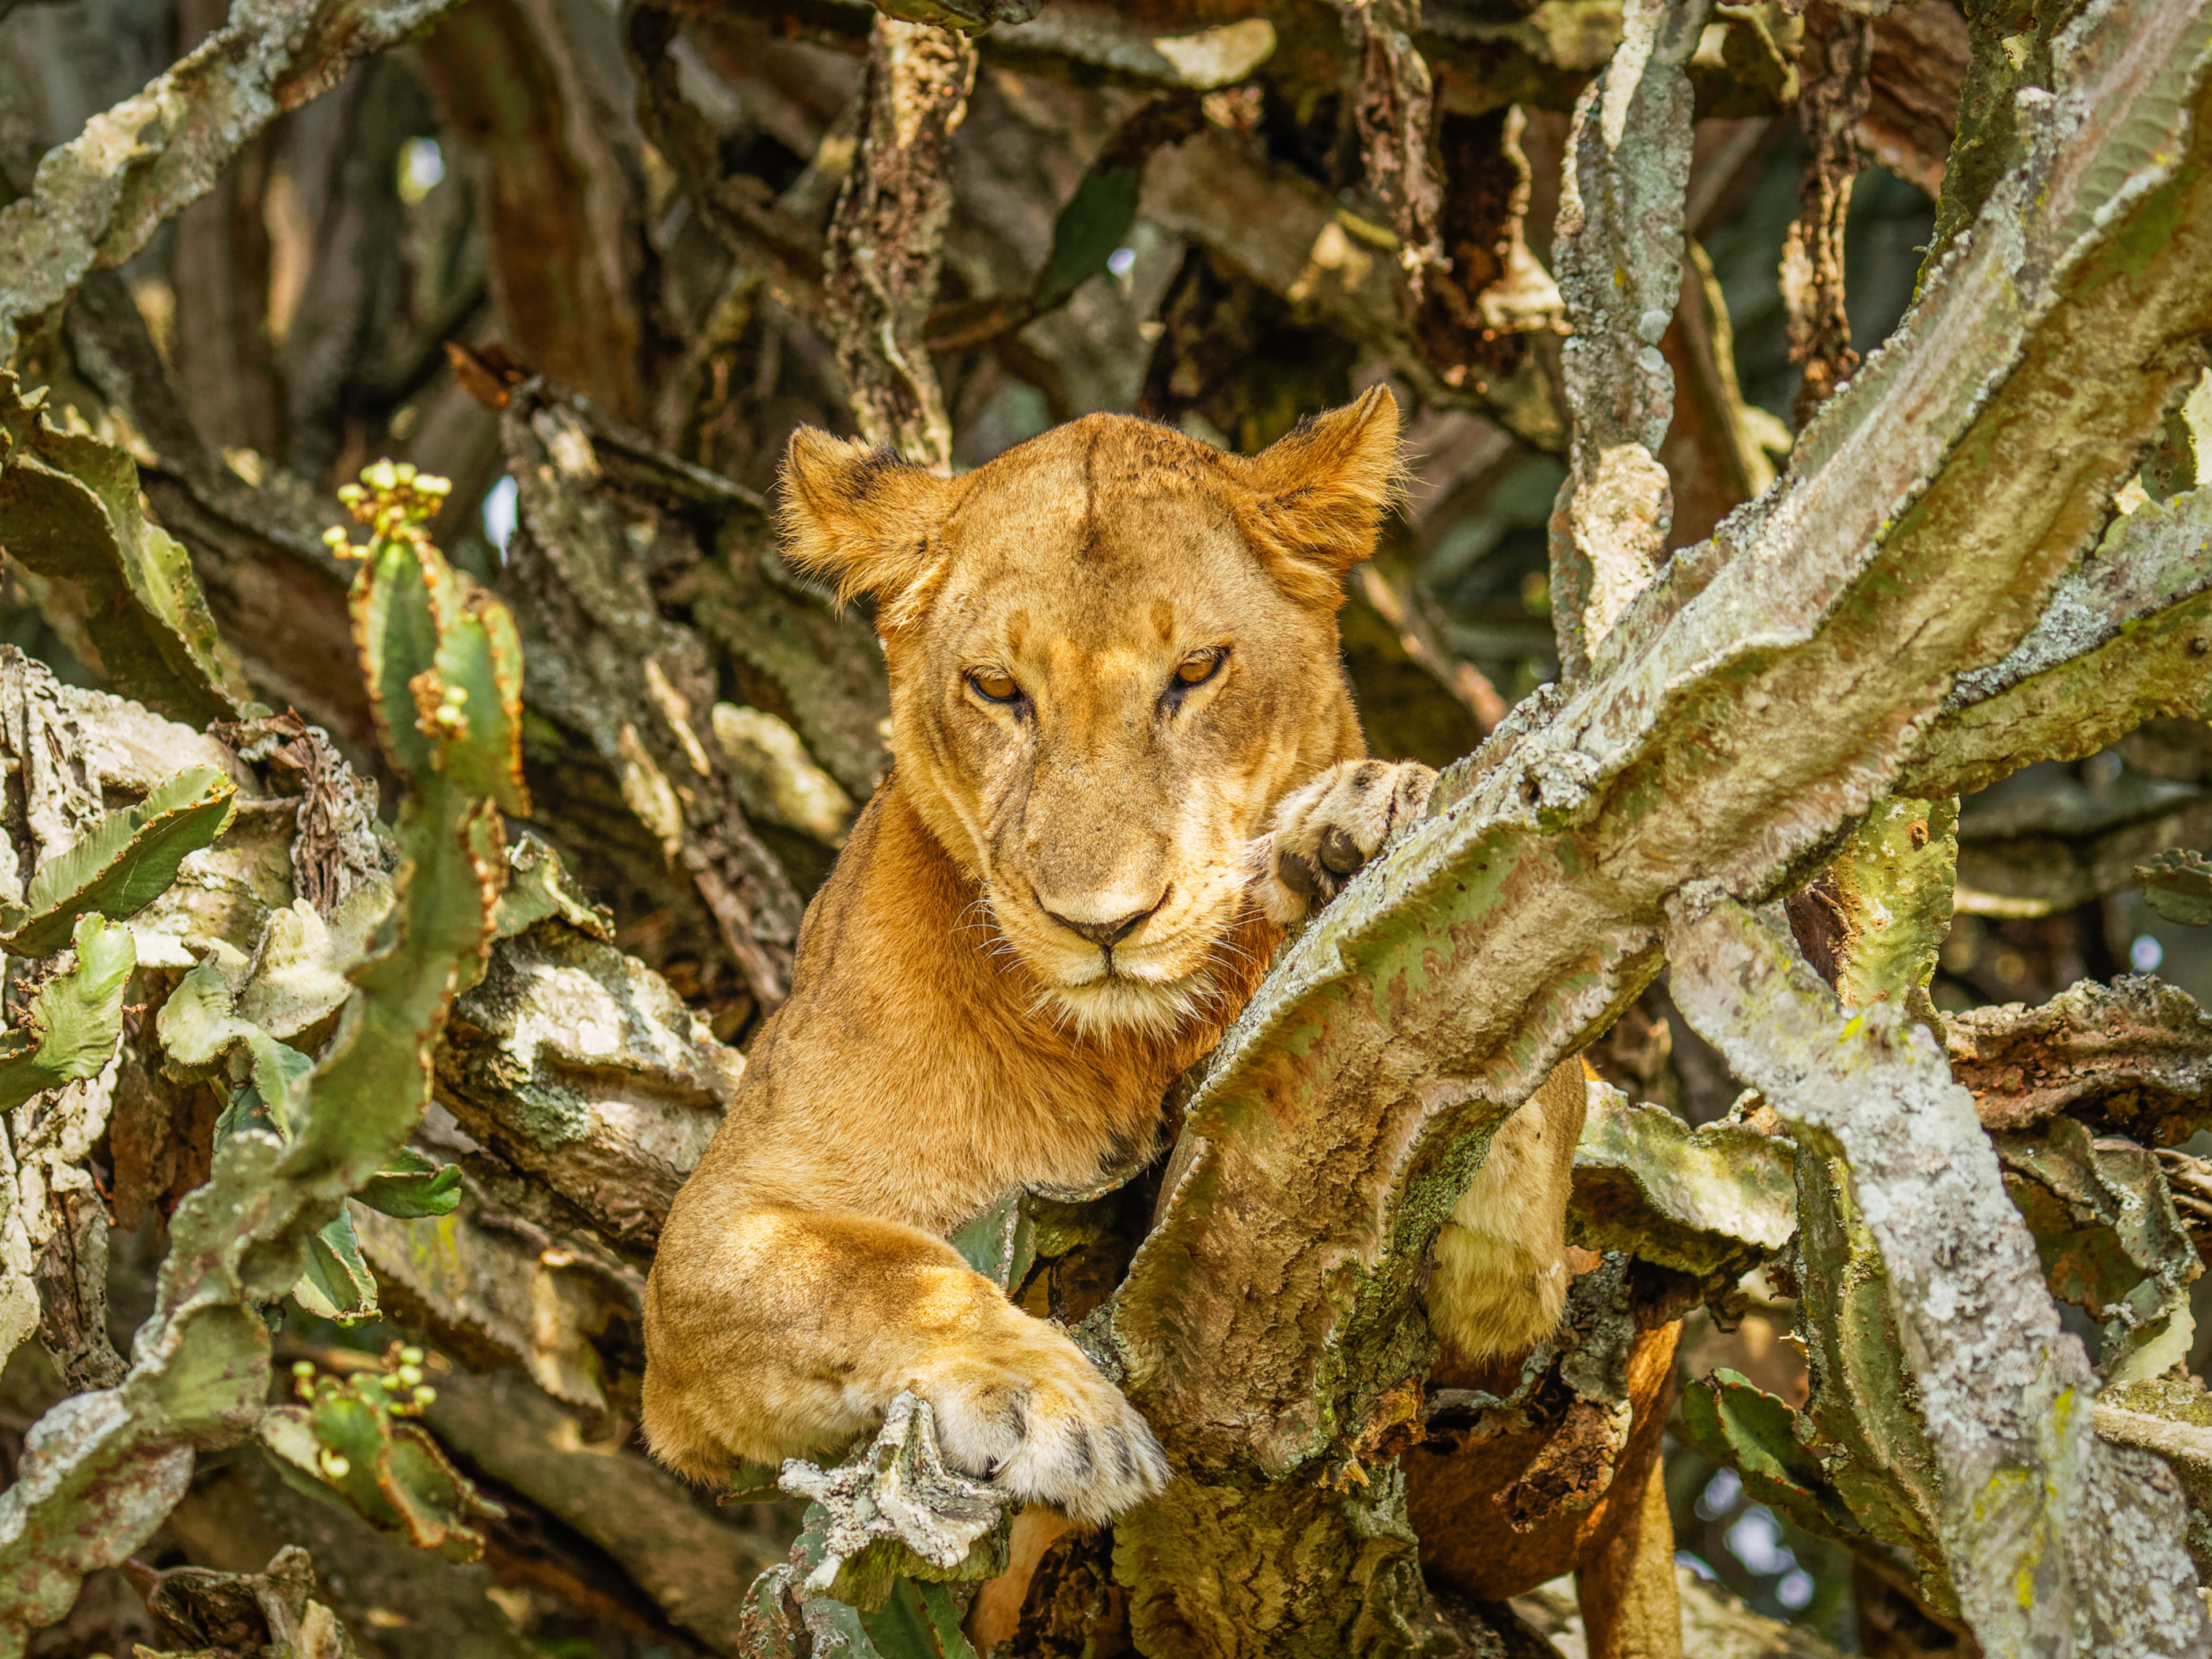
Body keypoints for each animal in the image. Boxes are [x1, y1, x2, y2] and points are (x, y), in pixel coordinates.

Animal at [640, 390, 1672, 1650]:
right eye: (998, 689)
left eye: (1198, 670)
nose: (1105, 923)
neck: (1133, 1046)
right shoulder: (712, 1243)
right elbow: (882, 1270)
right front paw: (1047, 1404)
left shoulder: (1521, 1373)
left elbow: (1535, 1106)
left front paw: (1385, 836)